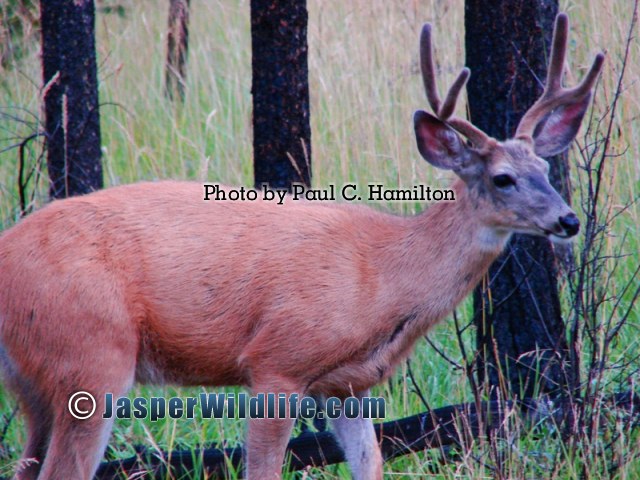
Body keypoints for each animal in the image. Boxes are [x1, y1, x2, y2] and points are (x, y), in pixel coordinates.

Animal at [0, 14, 604, 480]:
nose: (569, 220)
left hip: (35, 382)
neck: (382, 275)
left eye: (546, 169)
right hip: (92, 354)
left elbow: (370, 465)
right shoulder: (277, 360)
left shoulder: (346, 385)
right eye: (503, 178)